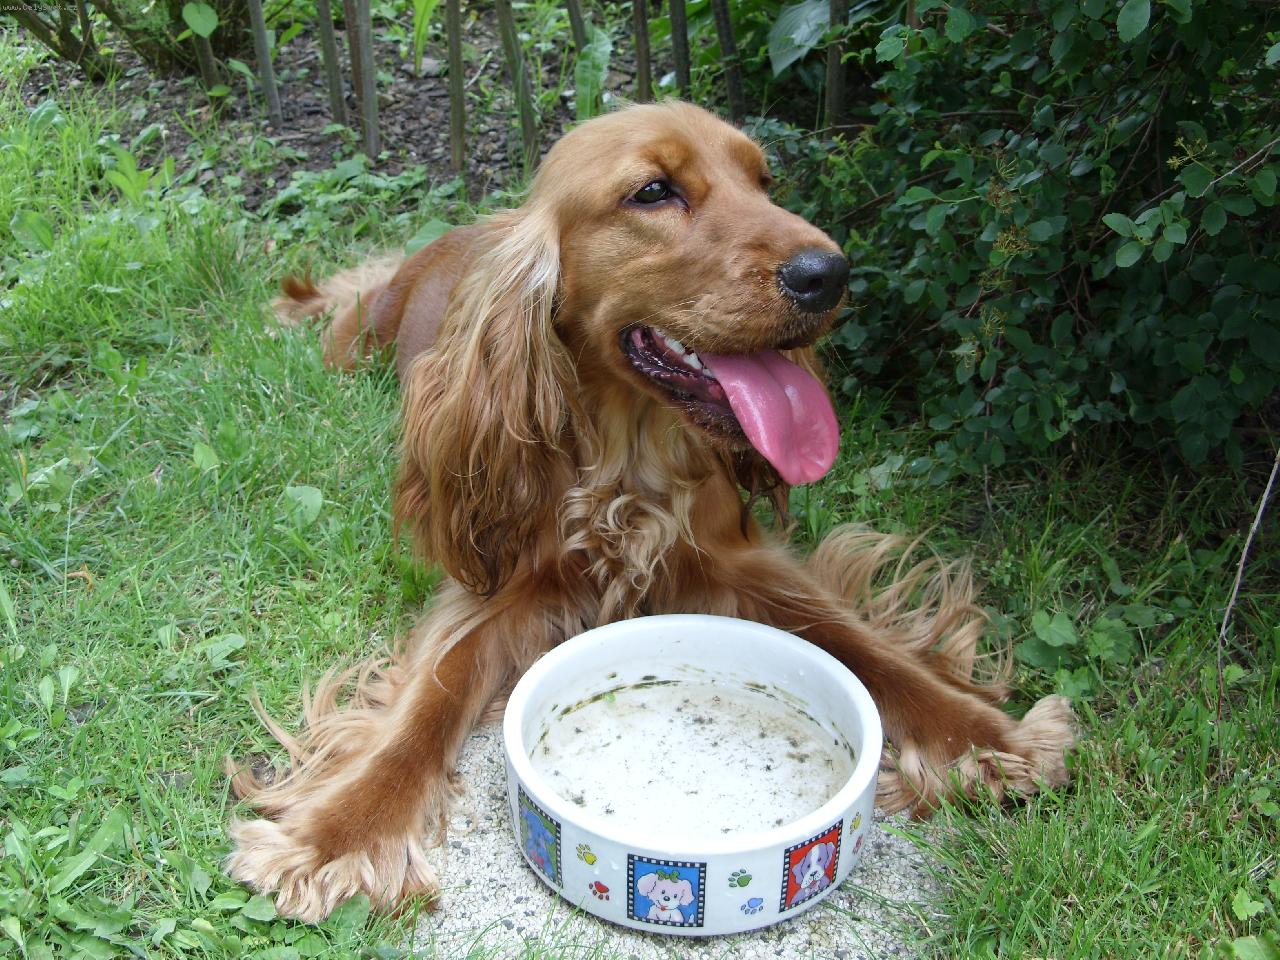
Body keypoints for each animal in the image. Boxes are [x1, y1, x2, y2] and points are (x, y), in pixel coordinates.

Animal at [226, 101, 1074, 923]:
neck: (628, 454)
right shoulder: (496, 589)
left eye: (764, 181)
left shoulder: (735, 558)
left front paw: (985, 736)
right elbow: (425, 706)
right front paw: (340, 834)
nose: (829, 274)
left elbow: (865, 645)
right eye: (653, 191)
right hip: (358, 338)